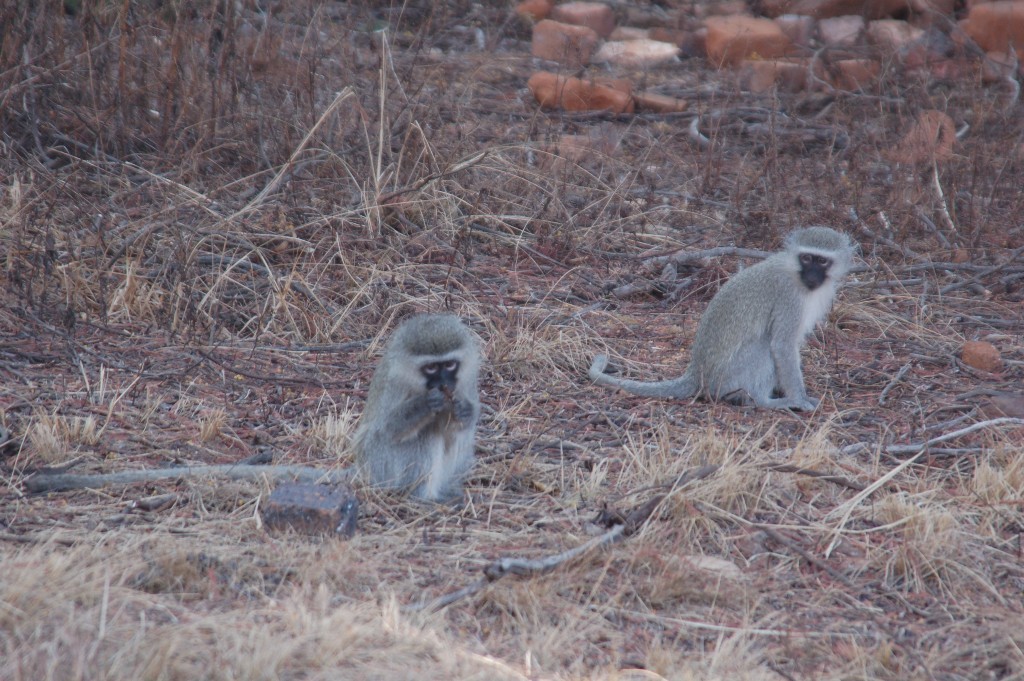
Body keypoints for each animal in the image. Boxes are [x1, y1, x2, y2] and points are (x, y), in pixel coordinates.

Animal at [352, 313, 479, 499]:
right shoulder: (394, 381)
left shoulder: (466, 381)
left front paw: (465, 410)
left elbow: (454, 427)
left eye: (449, 365)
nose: (444, 383)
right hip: (379, 466)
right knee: (425, 432)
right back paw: (423, 497)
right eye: (431, 367)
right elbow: (388, 428)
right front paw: (425, 404)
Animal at [589, 227, 851, 409]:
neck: (798, 277)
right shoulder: (789, 298)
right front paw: (799, 398)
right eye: (806, 258)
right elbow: (782, 346)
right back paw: (764, 401)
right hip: (728, 378)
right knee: (764, 345)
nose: (812, 276)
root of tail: (697, 374)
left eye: (822, 261)